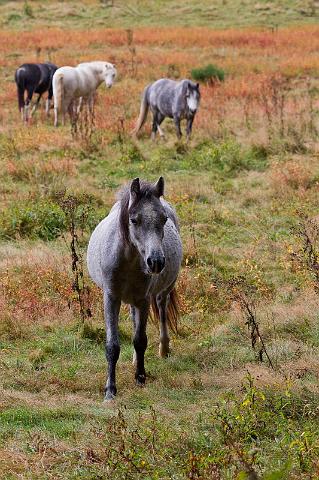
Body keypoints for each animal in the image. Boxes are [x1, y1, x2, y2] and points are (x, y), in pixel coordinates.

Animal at [87, 176, 182, 402]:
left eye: (163, 219)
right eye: (133, 220)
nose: (156, 262)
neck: (128, 261)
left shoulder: (143, 300)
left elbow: (140, 340)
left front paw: (140, 378)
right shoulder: (111, 298)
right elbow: (112, 345)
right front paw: (110, 390)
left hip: (164, 290)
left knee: (162, 310)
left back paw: (164, 349)